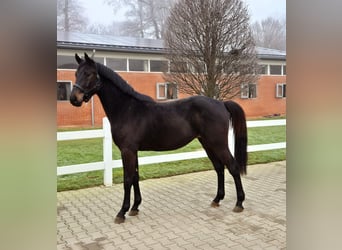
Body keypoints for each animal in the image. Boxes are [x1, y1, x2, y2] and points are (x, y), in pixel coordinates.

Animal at [69, 52, 247, 223]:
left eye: (89, 74)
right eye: (76, 73)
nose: (74, 98)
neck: (127, 109)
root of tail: (221, 103)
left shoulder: (127, 151)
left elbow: (127, 179)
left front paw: (122, 212)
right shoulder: (133, 151)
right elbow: (135, 176)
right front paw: (135, 207)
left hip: (219, 144)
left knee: (232, 167)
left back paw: (239, 203)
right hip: (207, 143)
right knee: (219, 168)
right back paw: (217, 199)